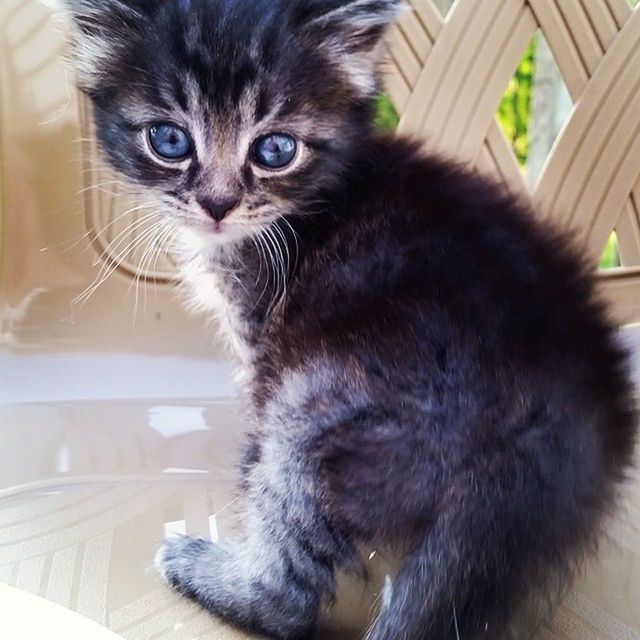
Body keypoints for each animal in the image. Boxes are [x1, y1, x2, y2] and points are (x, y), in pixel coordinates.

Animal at [52, 1, 636, 640]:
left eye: (275, 150)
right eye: (169, 139)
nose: (217, 204)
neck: (316, 196)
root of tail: (549, 413)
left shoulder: (264, 340)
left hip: (320, 403)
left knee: (287, 593)